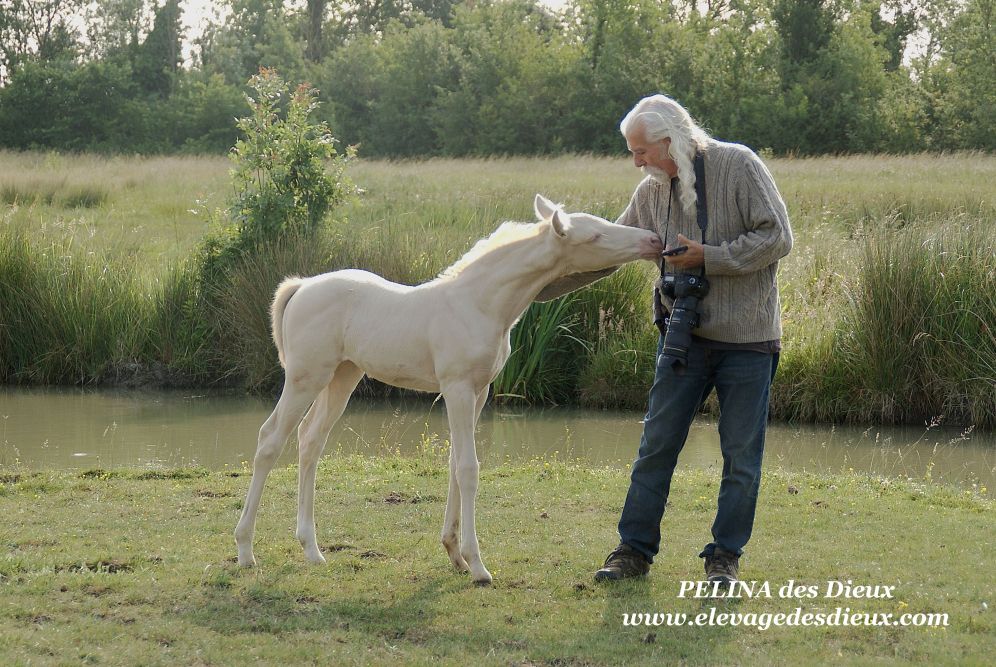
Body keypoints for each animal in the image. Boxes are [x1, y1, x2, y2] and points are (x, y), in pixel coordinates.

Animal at [234, 194, 663, 585]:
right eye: (595, 235)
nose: (653, 240)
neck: (480, 304)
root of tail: (302, 285)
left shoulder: (479, 392)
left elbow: (456, 465)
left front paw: (454, 554)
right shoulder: (456, 388)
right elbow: (468, 468)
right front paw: (478, 566)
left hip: (343, 376)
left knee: (310, 440)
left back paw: (312, 550)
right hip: (305, 378)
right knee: (270, 439)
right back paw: (245, 551)